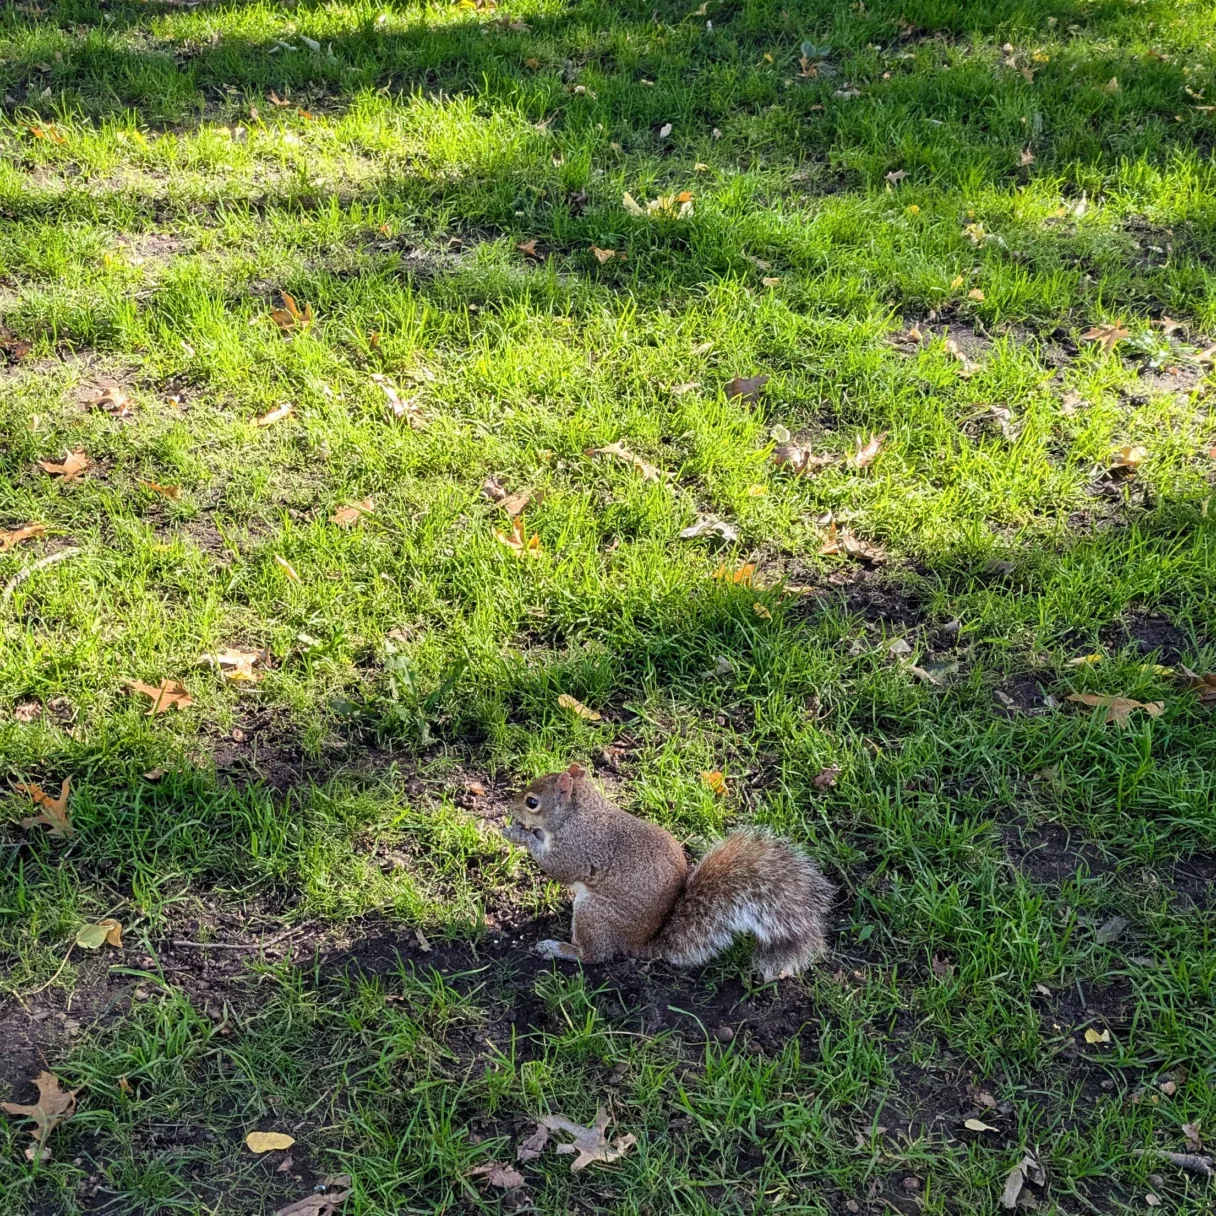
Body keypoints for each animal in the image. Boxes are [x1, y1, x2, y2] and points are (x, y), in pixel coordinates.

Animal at [503, 758, 836, 977]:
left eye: (532, 802)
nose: (510, 807)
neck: (576, 814)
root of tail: (640, 944)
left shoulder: (577, 849)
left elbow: (560, 869)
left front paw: (518, 835)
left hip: (592, 914)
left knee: (594, 956)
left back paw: (559, 949)